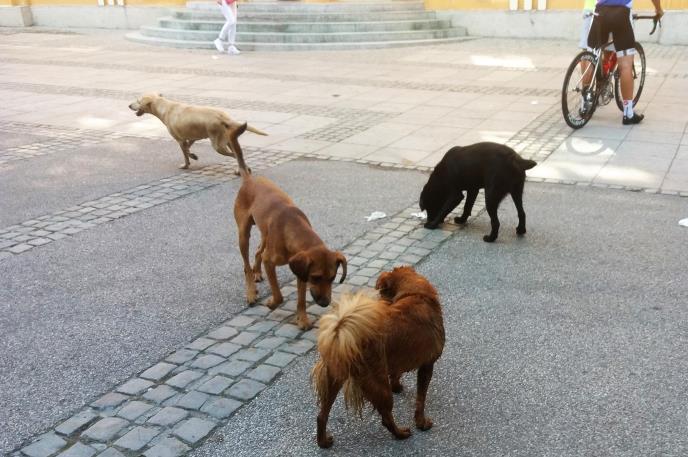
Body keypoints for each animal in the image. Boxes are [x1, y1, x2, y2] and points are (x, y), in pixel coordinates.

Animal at [128, 93, 267, 170]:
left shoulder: (180, 140)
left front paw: (186, 165)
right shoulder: (191, 138)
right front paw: (193, 156)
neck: (166, 107)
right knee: (239, 155)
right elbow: (188, 149)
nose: (129, 105)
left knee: (236, 156)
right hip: (228, 142)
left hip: (218, 146)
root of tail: (222, 117)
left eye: (138, 101)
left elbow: (185, 154)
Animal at [231, 129, 346, 330]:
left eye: (333, 278)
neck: (292, 229)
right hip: (243, 233)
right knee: (246, 263)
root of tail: (249, 179)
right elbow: (278, 294)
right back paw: (251, 291)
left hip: (264, 234)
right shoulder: (273, 262)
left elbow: (301, 299)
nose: (325, 303)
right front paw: (271, 303)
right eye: (316, 277)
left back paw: (257, 273)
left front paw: (302, 319)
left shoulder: (301, 271)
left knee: (257, 252)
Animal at [312, 266, 444, 448]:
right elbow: (420, 400)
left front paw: (397, 386)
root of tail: (340, 336)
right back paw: (401, 434)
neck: (416, 294)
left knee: (322, 415)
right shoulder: (427, 365)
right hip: (379, 385)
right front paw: (421, 423)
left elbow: (396, 373)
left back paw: (323, 441)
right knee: (386, 418)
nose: (381, 302)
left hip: (334, 379)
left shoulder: (395, 359)